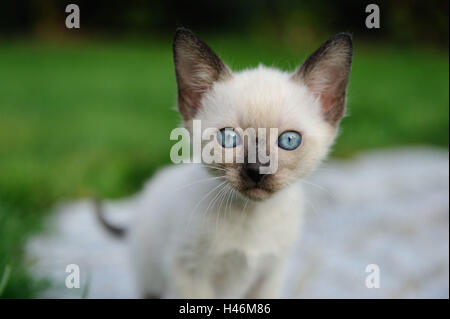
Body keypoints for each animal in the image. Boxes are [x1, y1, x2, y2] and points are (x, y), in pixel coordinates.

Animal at [100, 28, 354, 300]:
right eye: (229, 138)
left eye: (288, 140)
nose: (257, 169)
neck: (252, 216)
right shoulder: (188, 270)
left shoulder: (270, 275)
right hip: (150, 277)